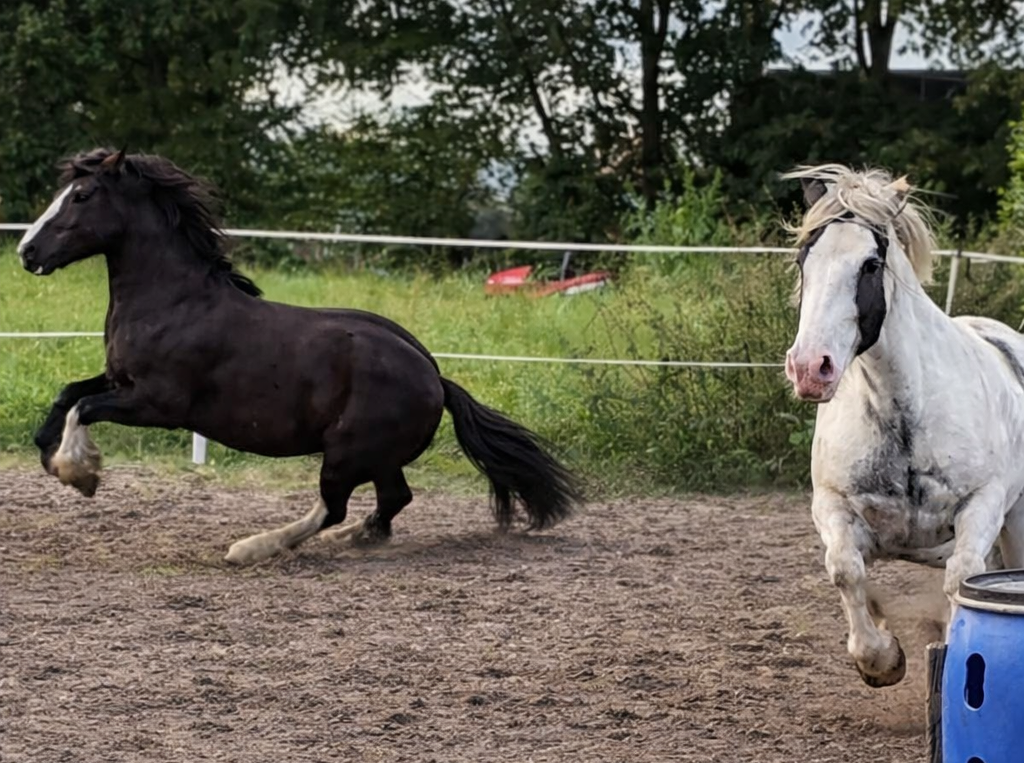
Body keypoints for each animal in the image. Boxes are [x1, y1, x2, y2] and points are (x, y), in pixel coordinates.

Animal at [16, 147, 582, 565]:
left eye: (81, 195)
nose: (26, 252)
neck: (174, 302)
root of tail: (435, 377)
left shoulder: (158, 404)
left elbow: (83, 408)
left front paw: (79, 472)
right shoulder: (120, 379)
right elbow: (68, 394)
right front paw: (49, 454)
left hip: (346, 453)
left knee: (334, 506)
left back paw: (253, 548)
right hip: (375, 456)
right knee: (391, 500)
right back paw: (355, 539)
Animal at [781, 163, 1024, 687]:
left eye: (870, 265)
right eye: (803, 259)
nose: (810, 368)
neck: (905, 412)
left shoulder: (982, 505)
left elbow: (961, 580)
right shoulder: (833, 507)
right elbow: (845, 571)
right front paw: (881, 658)